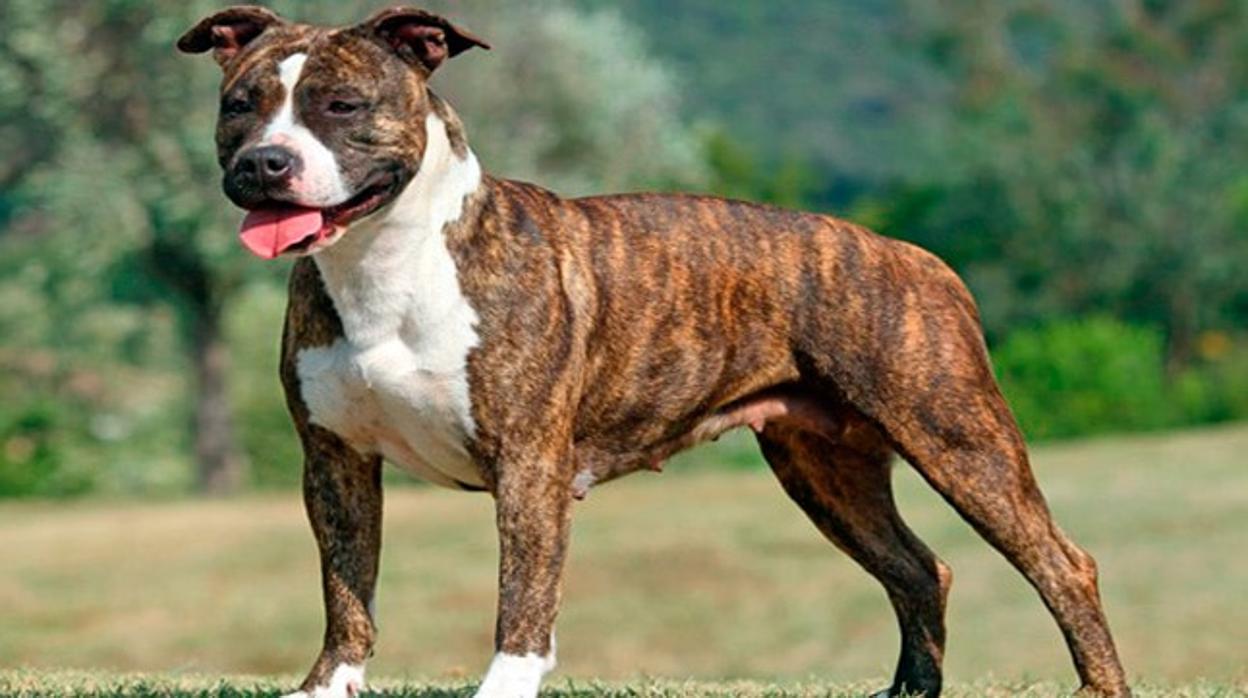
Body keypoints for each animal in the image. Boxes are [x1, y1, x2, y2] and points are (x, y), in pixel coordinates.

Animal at [176, 6, 1131, 698]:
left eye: (341, 105)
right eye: (239, 106)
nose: (265, 163)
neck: (385, 260)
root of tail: (915, 256)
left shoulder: (528, 464)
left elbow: (522, 600)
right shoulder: (334, 462)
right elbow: (349, 592)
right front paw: (325, 686)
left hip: (958, 437)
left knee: (1063, 563)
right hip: (826, 469)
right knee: (919, 569)